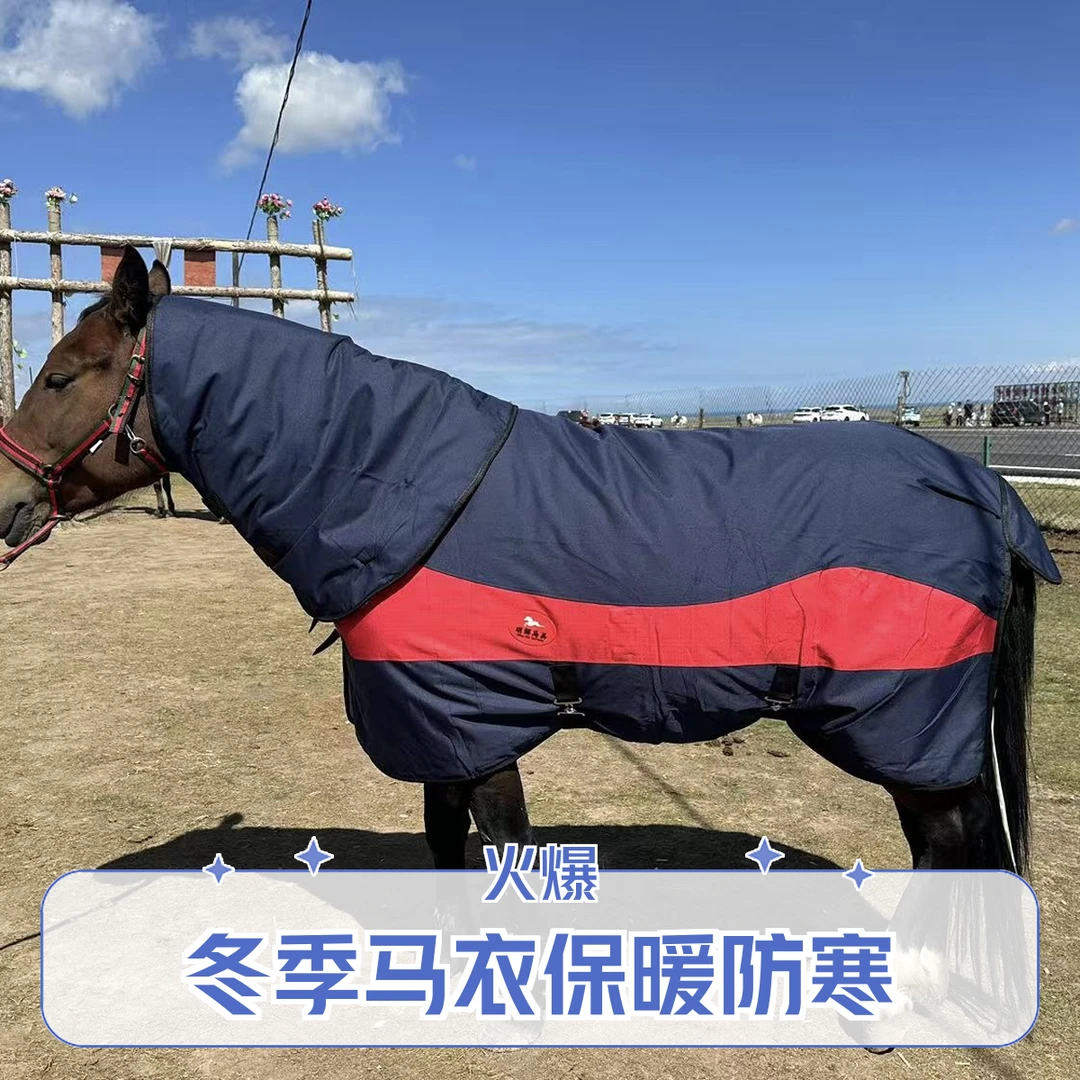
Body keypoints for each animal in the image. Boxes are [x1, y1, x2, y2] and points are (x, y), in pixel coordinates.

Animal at [0, 247, 1058, 1038]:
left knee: (947, 842)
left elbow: (500, 845)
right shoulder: (437, 713)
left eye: (60, 376)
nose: (6, 503)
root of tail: (983, 490)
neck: (404, 492)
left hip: (901, 717)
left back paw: (894, 1001)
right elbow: (444, 841)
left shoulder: (477, 720)